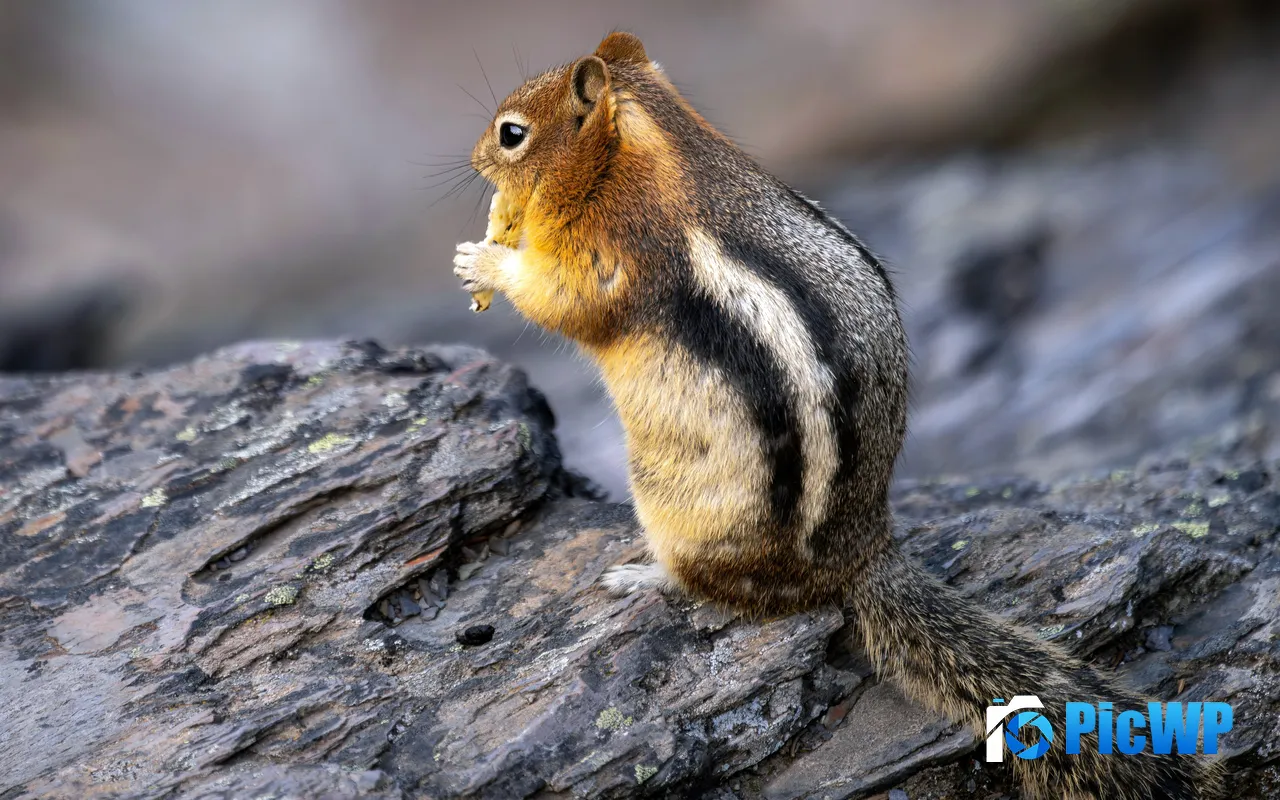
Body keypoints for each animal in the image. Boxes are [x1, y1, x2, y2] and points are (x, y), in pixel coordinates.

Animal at [453, 32, 1223, 800]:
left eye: (512, 134)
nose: (474, 158)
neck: (639, 148)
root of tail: (862, 553)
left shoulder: (612, 252)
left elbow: (564, 300)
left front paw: (485, 262)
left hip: (676, 507)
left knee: (716, 591)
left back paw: (642, 577)